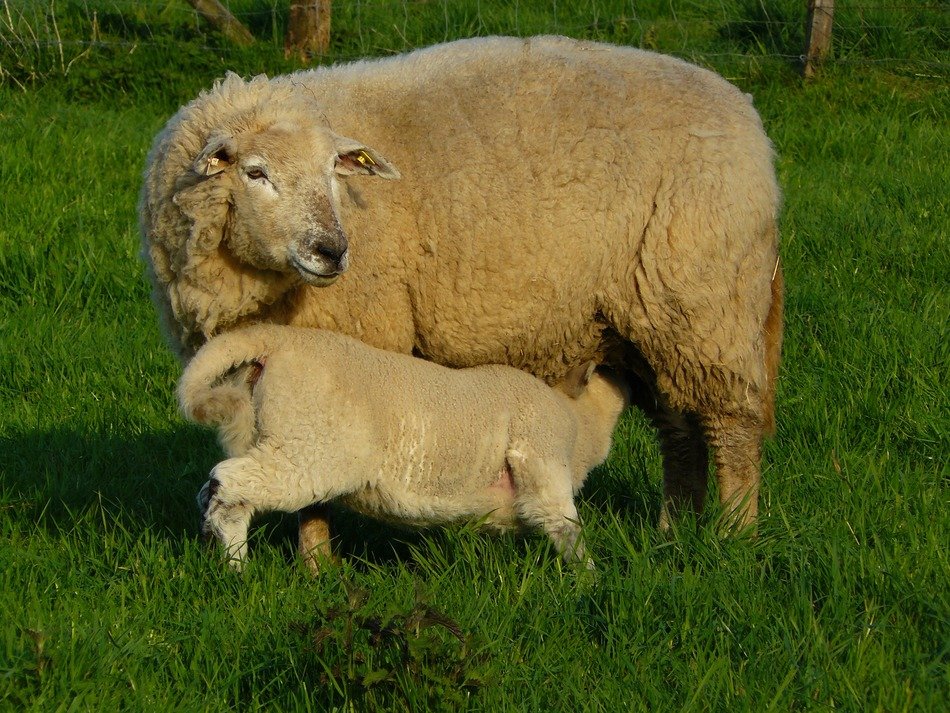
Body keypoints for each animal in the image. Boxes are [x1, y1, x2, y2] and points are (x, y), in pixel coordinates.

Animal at [177, 324, 631, 569]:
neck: (579, 420)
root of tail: (277, 340)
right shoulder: (543, 457)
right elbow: (563, 526)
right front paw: (591, 579)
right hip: (309, 449)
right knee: (228, 484)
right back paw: (236, 564)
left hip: (268, 435)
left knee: (211, 491)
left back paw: (216, 553)